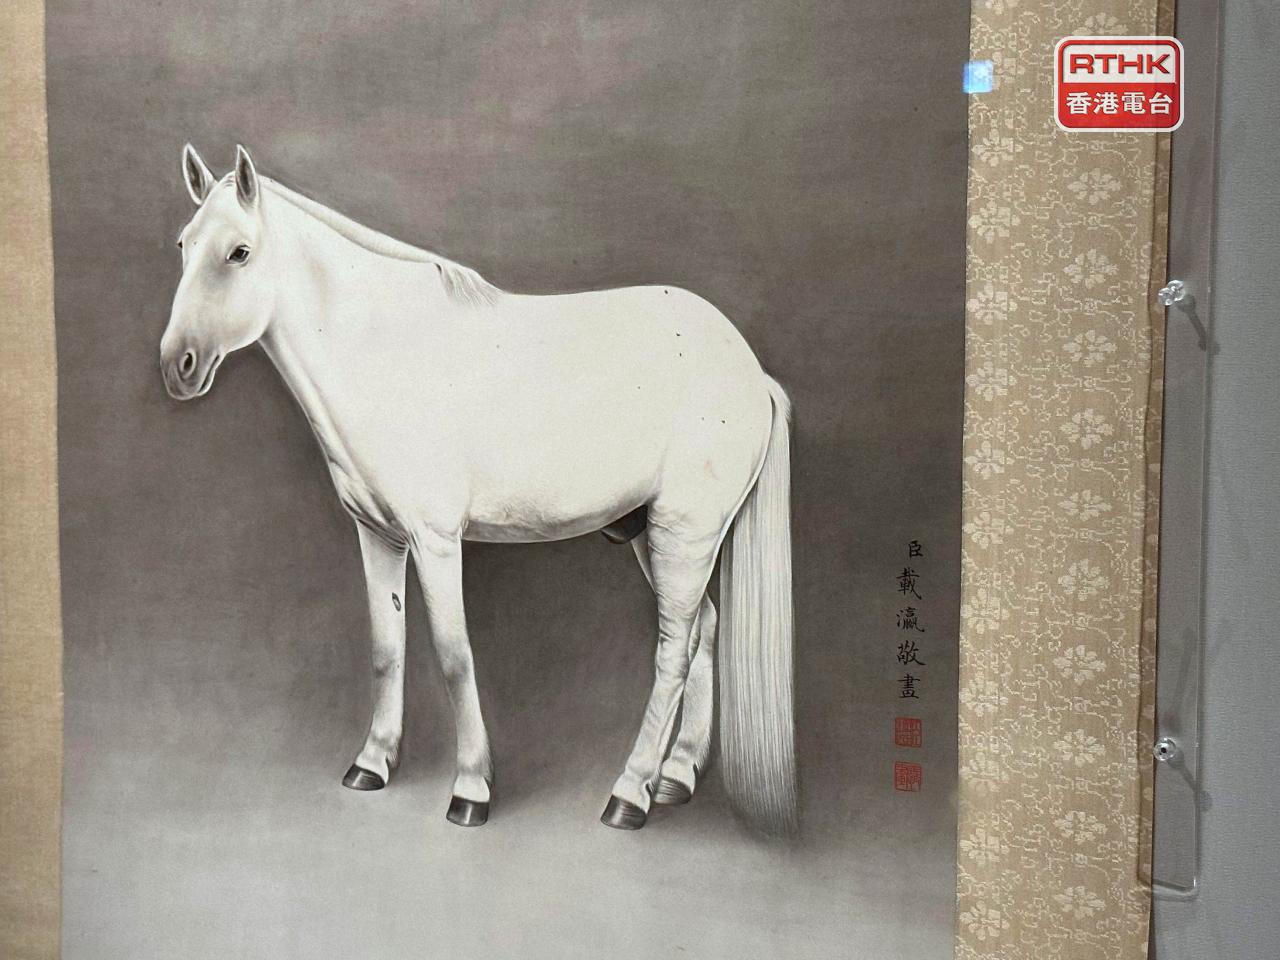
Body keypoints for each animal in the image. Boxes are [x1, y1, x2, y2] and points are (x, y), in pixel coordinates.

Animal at [160, 144, 796, 834]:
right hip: (650, 535)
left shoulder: (436, 542)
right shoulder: (378, 535)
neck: (386, 354)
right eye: (184, 244)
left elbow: (453, 654)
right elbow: (387, 648)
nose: (177, 365)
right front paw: (372, 764)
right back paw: (675, 776)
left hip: (686, 535)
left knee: (673, 651)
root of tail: (750, 371)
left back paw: (629, 795)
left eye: (239, 252)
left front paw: (471, 789)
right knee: (703, 631)